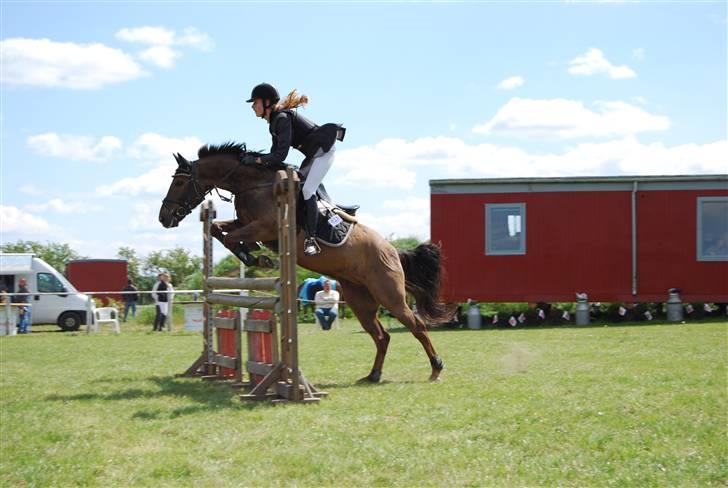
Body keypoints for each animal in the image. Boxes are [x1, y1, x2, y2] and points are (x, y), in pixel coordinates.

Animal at [159, 143, 450, 384]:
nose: (164, 217)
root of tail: (392, 250)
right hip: (359, 299)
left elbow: (230, 236)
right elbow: (218, 229)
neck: (254, 185)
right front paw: (252, 254)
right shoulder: (246, 223)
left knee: (416, 326)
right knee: (381, 336)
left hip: (389, 295)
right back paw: (373, 375)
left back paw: (436, 368)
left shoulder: (266, 228)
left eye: (180, 182)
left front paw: (257, 257)